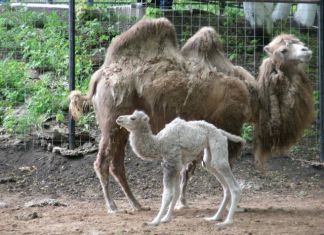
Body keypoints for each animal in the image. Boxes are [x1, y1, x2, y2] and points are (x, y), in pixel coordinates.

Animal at [68, 17, 314, 213]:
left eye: (297, 42)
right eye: (283, 50)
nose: (307, 50)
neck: (254, 97)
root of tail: (98, 78)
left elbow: (190, 168)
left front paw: (181, 202)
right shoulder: (230, 124)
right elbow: (221, 163)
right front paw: (234, 205)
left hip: (123, 125)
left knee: (116, 163)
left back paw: (136, 204)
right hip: (112, 121)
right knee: (102, 162)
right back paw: (112, 206)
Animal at [116, 111, 246, 227]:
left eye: (133, 118)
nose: (119, 118)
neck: (159, 143)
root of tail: (220, 131)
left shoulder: (170, 164)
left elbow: (167, 194)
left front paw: (155, 221)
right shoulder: (177, 165)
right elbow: (176, 192)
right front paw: (166, 218)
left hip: (217, 146)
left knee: (233, 184)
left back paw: (227, 221)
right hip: (209, 154)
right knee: (220, 179)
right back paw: (214, 218)